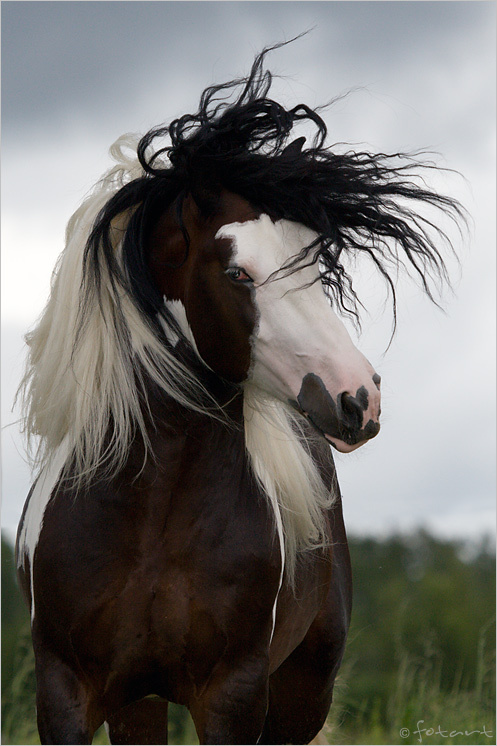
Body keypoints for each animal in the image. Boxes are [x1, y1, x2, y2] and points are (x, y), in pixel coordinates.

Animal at [16, 43, 462, 745]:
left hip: (302, 694)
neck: (150, 516)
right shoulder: (68, 694)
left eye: (316, 259)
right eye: (237, 273)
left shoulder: (234, 694)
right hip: (139, 704)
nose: (356, 398)